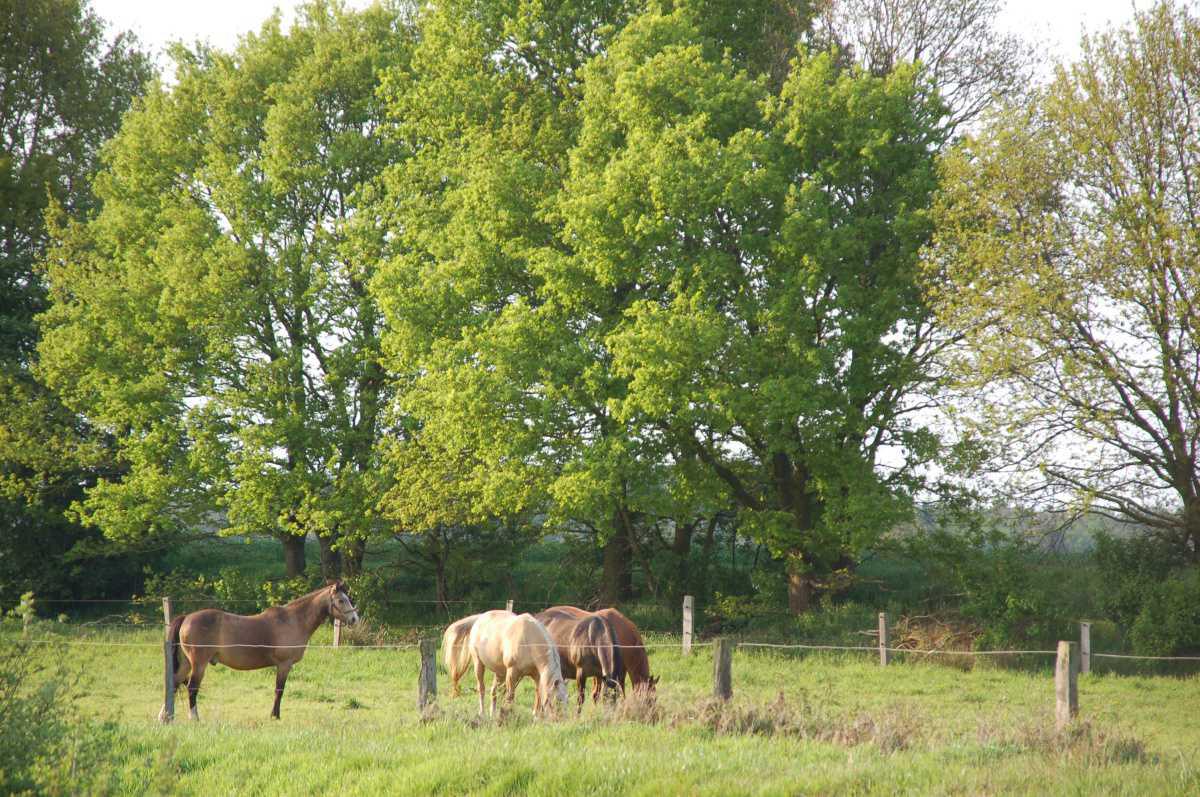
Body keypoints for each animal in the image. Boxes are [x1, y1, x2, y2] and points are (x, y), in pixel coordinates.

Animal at [157, 578, 357, 720]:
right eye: (341, 600)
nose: (354, 619)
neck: (293, 620)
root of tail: (186, 618)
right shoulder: (284, 665)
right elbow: (279, 690)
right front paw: (275, 716)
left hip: (186, 663)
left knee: (174, 683)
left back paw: (165, 717)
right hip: (199, 663)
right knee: (192, 687)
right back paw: (194, 717)